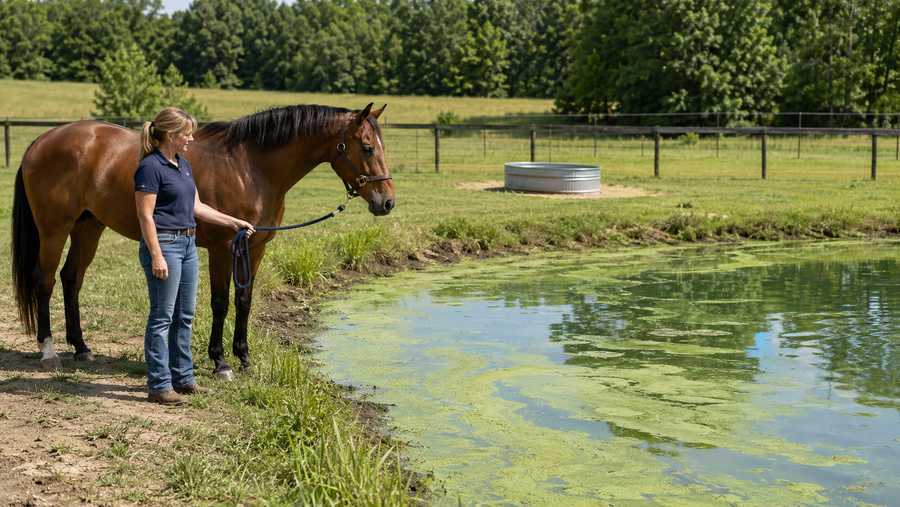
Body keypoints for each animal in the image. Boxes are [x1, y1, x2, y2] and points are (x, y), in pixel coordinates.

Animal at [11, 103, 394, 379]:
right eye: (367, 147)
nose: (387, 202)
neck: (250, 168)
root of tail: (42, 142)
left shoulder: (254, 249)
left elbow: (244, 301)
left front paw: (245, 359)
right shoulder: (225, 249)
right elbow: (221, 303)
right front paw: (221, 362)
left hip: (88, 227)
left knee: (71, 279)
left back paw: (82, 348)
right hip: (54, 230)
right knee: (44, 281)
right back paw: (49, 353)